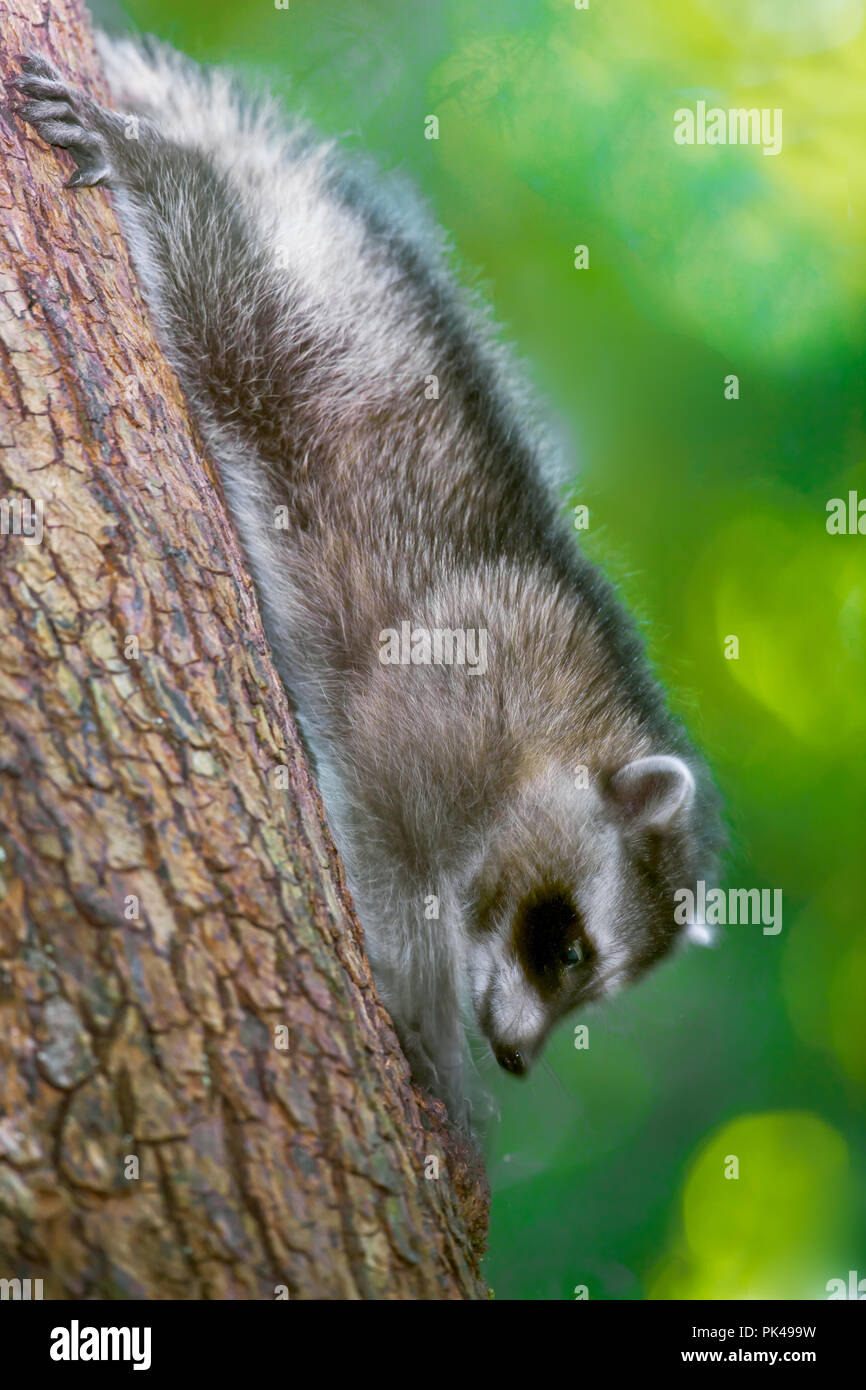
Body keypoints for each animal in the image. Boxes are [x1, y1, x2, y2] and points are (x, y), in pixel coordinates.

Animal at [13, 40, 722, 1128]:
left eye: (588, 983)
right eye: (564, 948)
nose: (518, 1058)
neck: (569, 728)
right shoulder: (448, 694)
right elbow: (388, 847)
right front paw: (424, 1006)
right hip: (308, 319)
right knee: (220, 268)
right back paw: (157, 166)